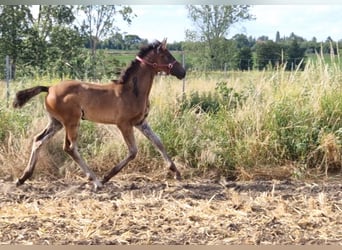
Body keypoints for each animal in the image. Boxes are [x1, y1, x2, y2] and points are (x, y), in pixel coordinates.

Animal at [13, 38, 186, 189]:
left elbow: (158, 142)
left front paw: (177, 173)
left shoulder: (140, 122)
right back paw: (96, 181)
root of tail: (49, 88)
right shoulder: (124, 124)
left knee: (39, 140)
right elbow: (133, 151)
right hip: (72, 121)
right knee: (70, 148)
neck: (131, 91)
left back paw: (23, 178)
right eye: (167, 55)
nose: (182, 72)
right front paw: (106, 177)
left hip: (57, 122)